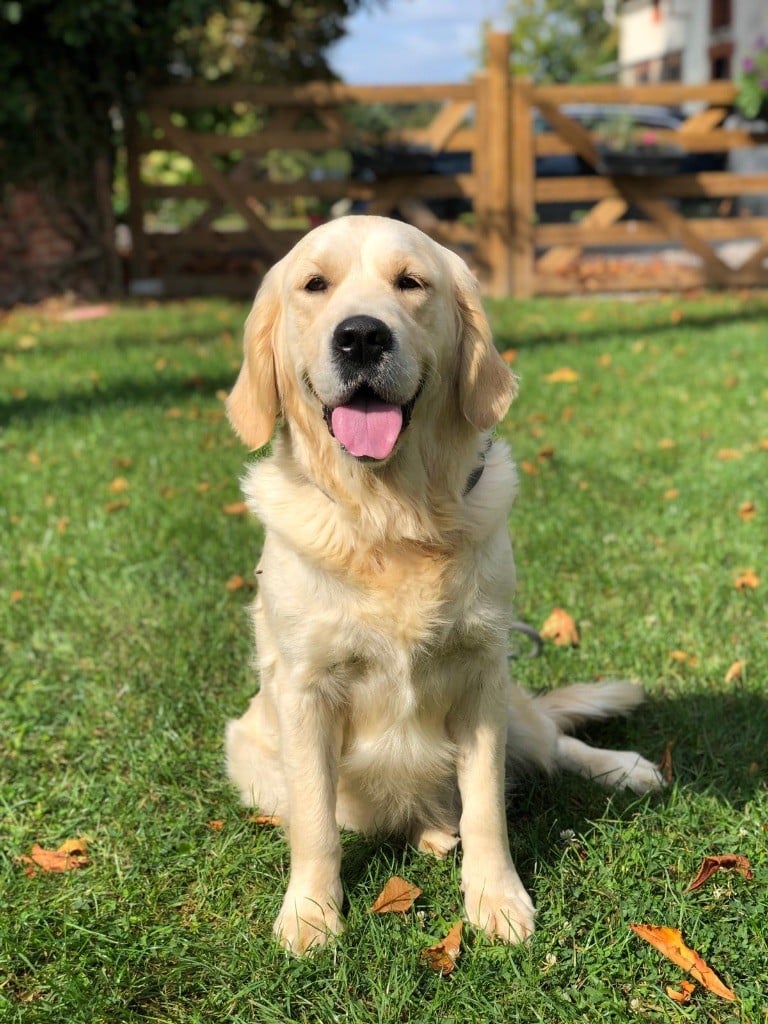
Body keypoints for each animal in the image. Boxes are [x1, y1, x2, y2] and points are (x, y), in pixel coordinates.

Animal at [224, 216, 663, 954]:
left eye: (411, 282)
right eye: (314, 285)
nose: (362, 336)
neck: (390, 519)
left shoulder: (482, 672)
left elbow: (486, 803)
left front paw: (497, 896)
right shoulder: (305, 689)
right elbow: (315, 820)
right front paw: (311, 912)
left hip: (514, 704)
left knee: (553, 738)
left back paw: (623, 766)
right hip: (251, 756)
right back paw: (429, 832)